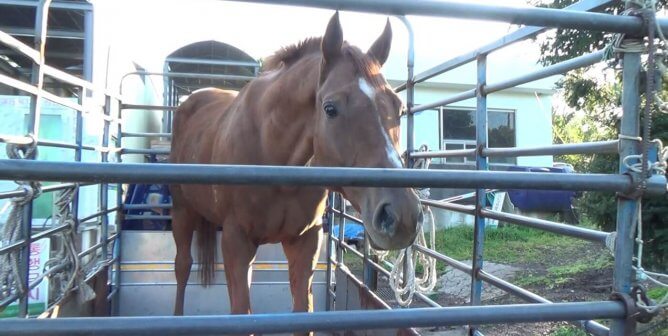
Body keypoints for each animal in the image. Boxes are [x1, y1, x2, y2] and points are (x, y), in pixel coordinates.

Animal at [170, 12, 420, 322]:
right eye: (330, 108)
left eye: (398, 107)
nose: (402, 216)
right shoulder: (236, 242)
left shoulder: (305, 242)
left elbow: (303, 312)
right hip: (182, 211)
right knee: (182, 266)